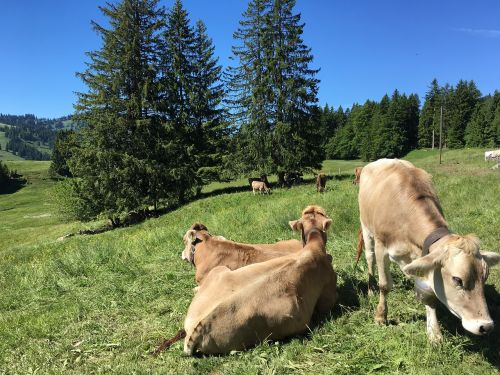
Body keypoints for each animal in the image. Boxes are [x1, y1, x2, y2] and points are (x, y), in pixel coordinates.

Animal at [360, 160, 500, 342]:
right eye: (457, 279)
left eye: (485, 277)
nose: (486, 326)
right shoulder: (381, 246)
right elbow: (384, 285)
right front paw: (380, 316)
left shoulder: (424, 256)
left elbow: (429, 294)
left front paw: (434, 332)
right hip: (365, 228)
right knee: (369, 258)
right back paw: (371, 289)